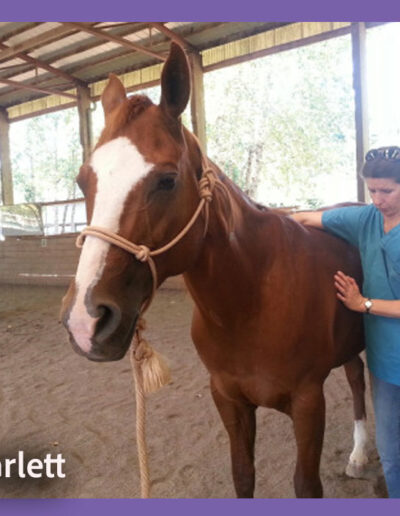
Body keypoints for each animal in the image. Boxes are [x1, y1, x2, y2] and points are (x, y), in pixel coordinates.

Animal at [61, 42, 368, 498]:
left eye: (167, 180)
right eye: (84, 181)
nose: (86, 320)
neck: (252, 302)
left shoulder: (309, 401)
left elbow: (306, 484)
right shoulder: (227, 397)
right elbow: (243, 475)